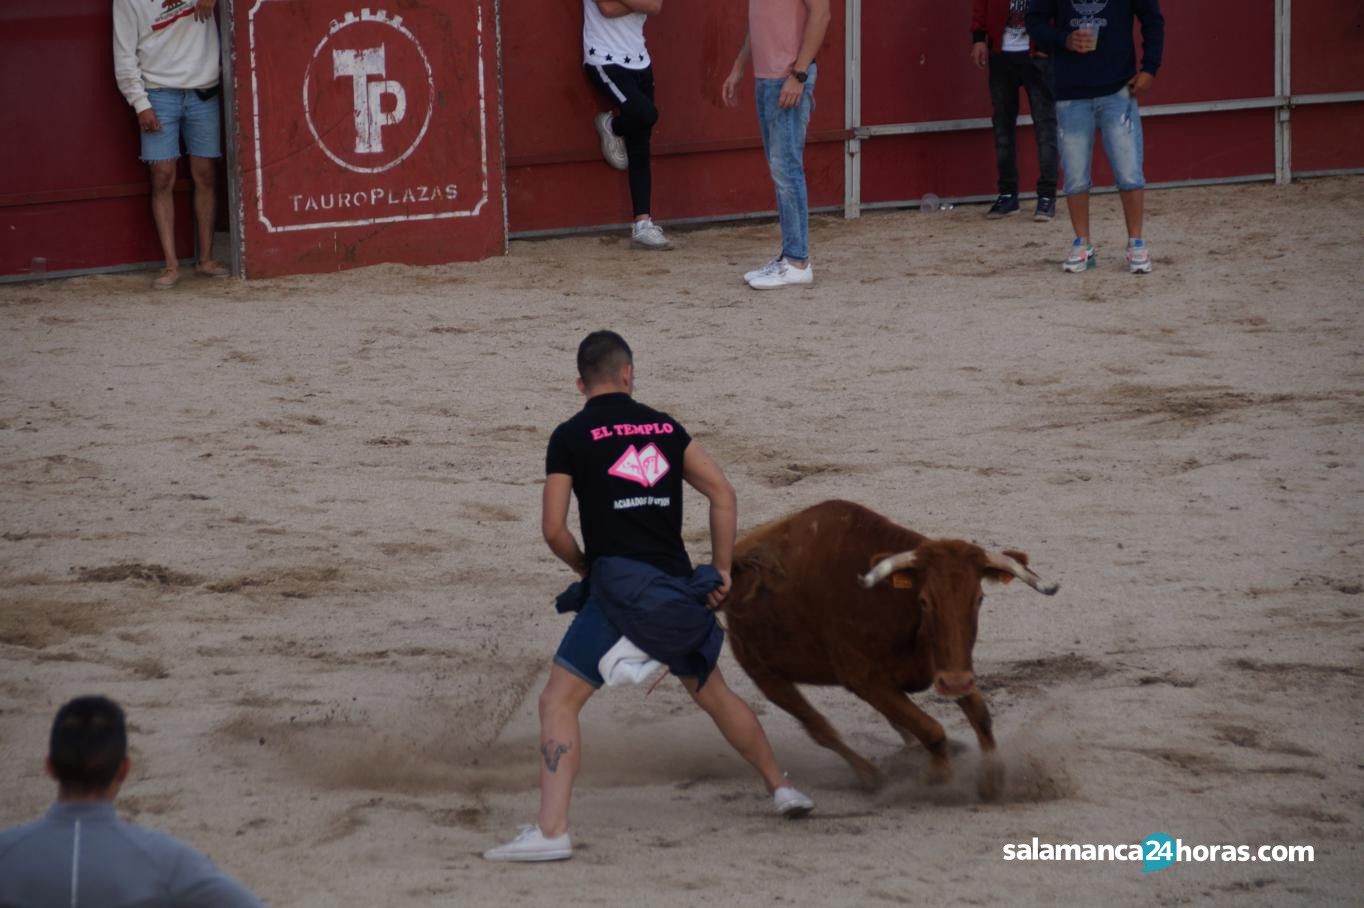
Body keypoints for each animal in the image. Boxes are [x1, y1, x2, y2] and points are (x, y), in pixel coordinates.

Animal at [720, 496, 1058, 801]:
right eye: (924, 601)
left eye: (978, 599)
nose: (955, 684)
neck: (891, 606)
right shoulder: (866, 682)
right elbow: (932, 729)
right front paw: (935, 776)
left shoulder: (946, 665)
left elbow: (980, 715)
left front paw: (992, 780)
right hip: (766, 676)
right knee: (819, 728)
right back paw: (872, 776)